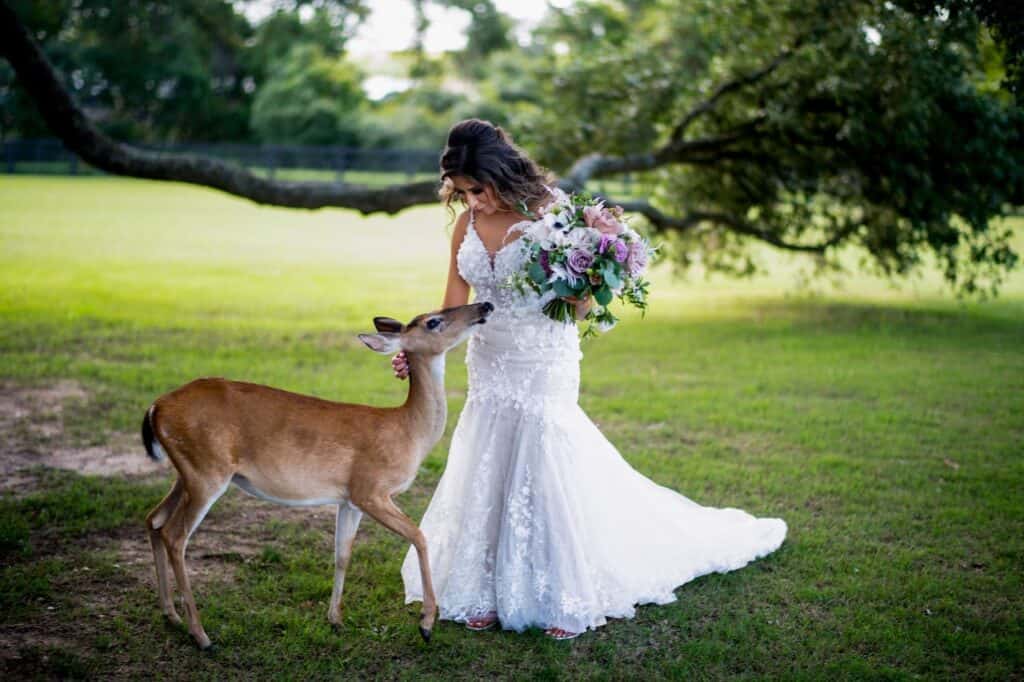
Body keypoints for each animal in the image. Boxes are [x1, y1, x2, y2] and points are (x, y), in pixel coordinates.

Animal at [140, 301, 494, 649]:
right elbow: (420, 536)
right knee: (175, 535)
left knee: (154, 519)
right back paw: (200, 635)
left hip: (187, 473)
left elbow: (342, 554)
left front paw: (335, 619)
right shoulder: (371, 488)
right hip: (207, 472)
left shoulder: (349, 500)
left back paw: (171, 615)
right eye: (433, 321)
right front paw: (426, 623)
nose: (485, 305)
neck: (408, 432)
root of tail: (156, 407)